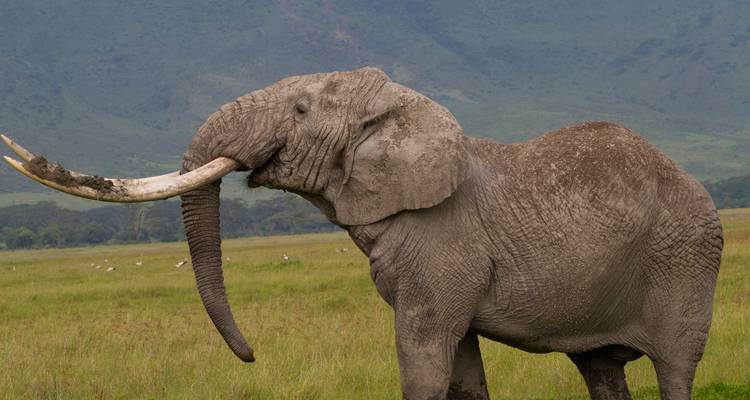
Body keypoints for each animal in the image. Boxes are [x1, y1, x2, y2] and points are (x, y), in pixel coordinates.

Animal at [2, 67, 723, 400]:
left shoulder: (443, 249)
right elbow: (460, 369)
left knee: (675, 368)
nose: (252, 355)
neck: (398, 109)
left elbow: (424, 356)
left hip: (688, 259)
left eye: (298, 109)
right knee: (601, 370)